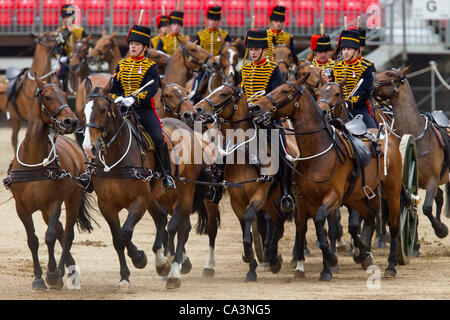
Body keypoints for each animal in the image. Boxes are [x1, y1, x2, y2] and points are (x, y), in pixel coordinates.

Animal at [4, 76, 96, 292]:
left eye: (64, 94)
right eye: (47, 97)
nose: (71, 121)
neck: (33, 158)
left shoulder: (53, 202)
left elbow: (50, 236)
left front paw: (53, 274)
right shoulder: (21, 208)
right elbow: (33, 240)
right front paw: (38, 278)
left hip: (72, 200)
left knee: (67, 234)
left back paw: (63, 271)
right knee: (62, 231)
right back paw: (69, 268)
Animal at [82, 79, 211, 288]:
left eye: (102, 109)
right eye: (83, 110)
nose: (88, 147)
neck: (116, 157)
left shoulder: (140, 201)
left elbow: (125, 232)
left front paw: (140, 258)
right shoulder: (107, 205)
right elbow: (118, 239)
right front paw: (125, 277)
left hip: (186, 192)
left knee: (182, 226)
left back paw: (174, 272)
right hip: (157, 197)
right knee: (163, 220)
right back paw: (164, 263)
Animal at [194, 83, 288, 282]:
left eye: (223, 93)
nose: (198, 109)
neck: (245, 156)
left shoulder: (259, 195)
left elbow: (251, 218)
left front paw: (256, 258)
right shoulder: (236, 200)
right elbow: (246, 226)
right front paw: (250, 263)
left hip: (271, 199)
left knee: (277, 221)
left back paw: (273, 258)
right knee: (213, 230)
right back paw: (209, 266)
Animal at [250, 79, 404, 282]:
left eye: (285, 91)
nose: (256, 107)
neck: (317, 152)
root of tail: (387, 138)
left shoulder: (333, 197)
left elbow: (323, 224)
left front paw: (330, 262)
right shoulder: (301, 199)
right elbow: (304, 228)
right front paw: (308, 266)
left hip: (392, 191)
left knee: (393, 226)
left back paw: (391, 264)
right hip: (356, 196)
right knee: (369, 215)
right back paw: (364, 254)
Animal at [372, 65, 450, 252]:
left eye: (389, 73)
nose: (369, 81)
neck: (416, 135)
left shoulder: (432, 179)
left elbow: (426, 207)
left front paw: (440, 229)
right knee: (439, 196)